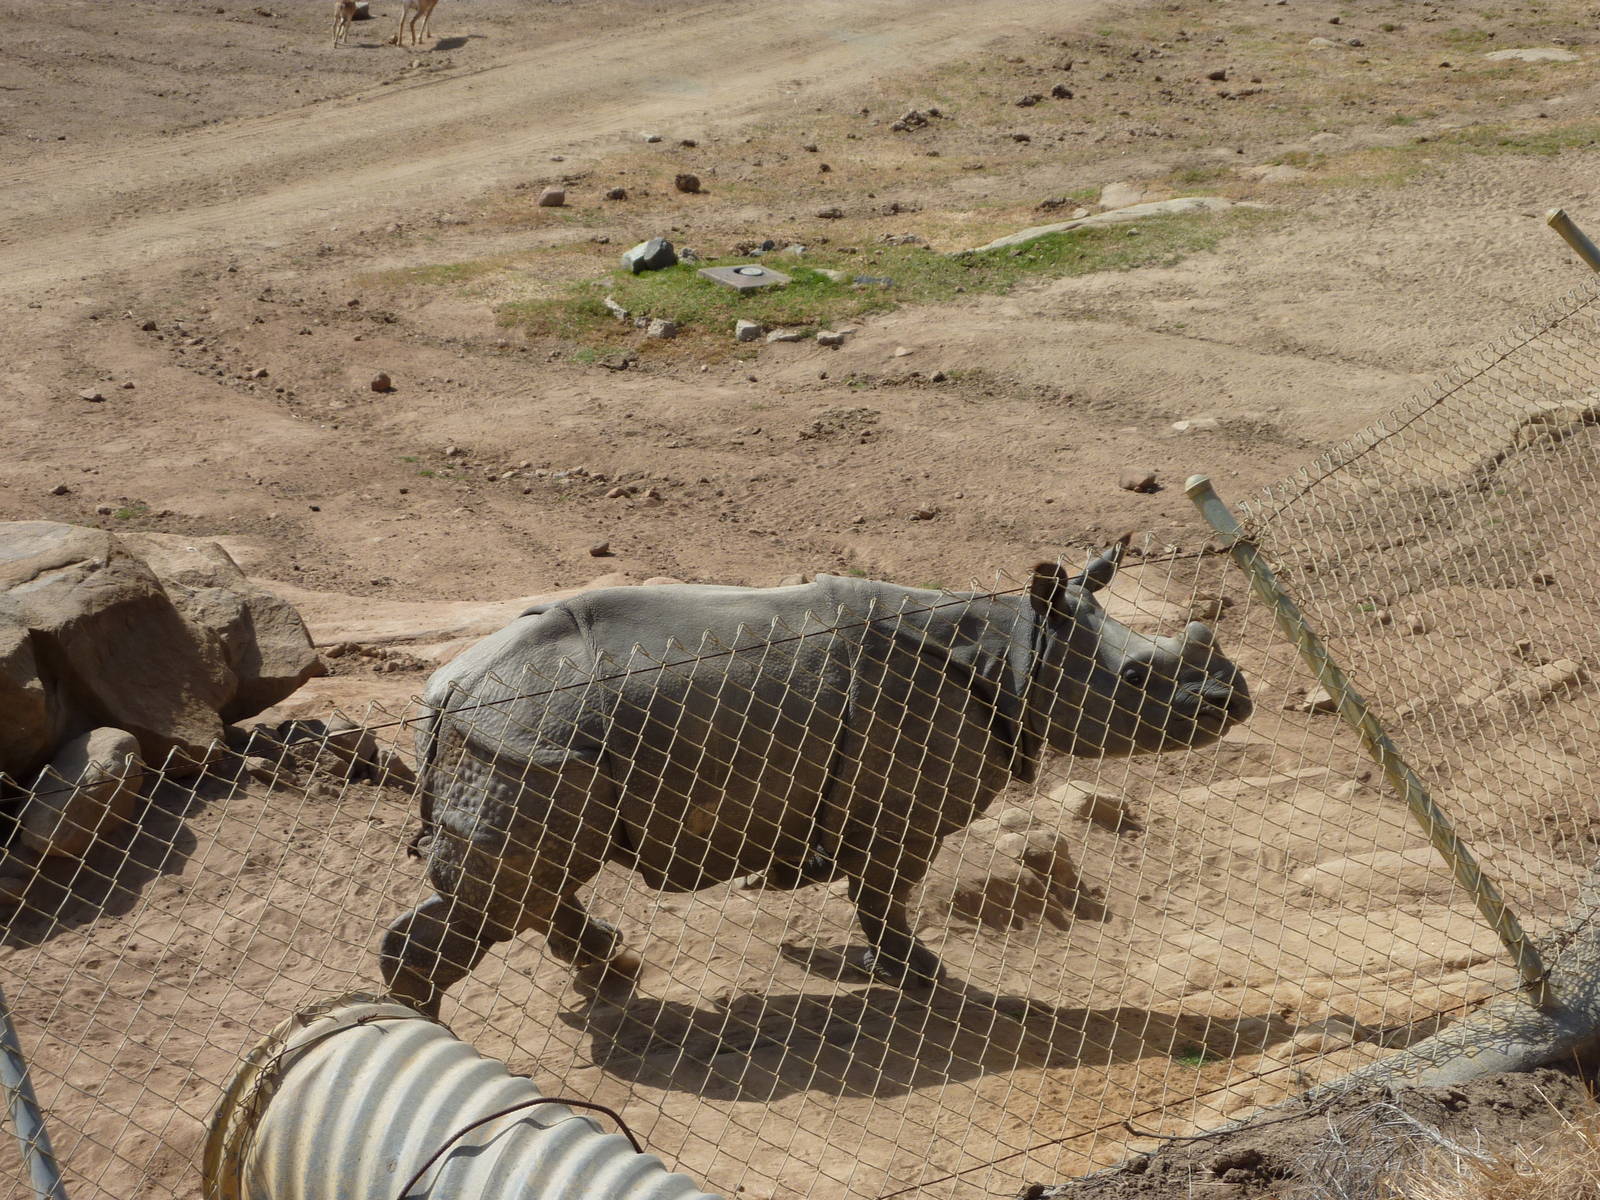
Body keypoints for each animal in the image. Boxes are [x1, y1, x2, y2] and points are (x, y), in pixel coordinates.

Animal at [380, 540, 1251, 1016]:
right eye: (1138, 680)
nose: (1235, 697)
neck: (1018, 650)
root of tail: (447, 688)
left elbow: (874, 894)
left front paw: (885, 967)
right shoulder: (903, 805)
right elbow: (885, 895)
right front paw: (926, 982)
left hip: (527, 734)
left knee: (540, 879)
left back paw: (615, 971)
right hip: (524, 734)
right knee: (512, 889)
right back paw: (426, 1032)